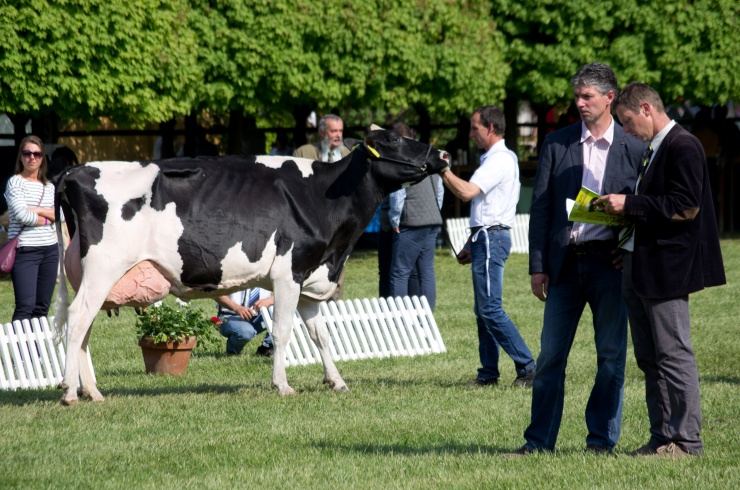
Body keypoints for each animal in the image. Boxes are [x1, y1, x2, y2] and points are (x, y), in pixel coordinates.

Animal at [53, 128, 450, 404]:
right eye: (396, 139)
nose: (444, 154)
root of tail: (75, 171)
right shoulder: (288, 273)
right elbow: (284, 331)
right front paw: (283, 385)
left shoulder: (309, 278)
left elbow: (321, 335)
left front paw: (336, 381)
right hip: (103, 266)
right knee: (77, 318)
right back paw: (70, 392)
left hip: (93, 275)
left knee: (84, 326)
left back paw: (92, 392)